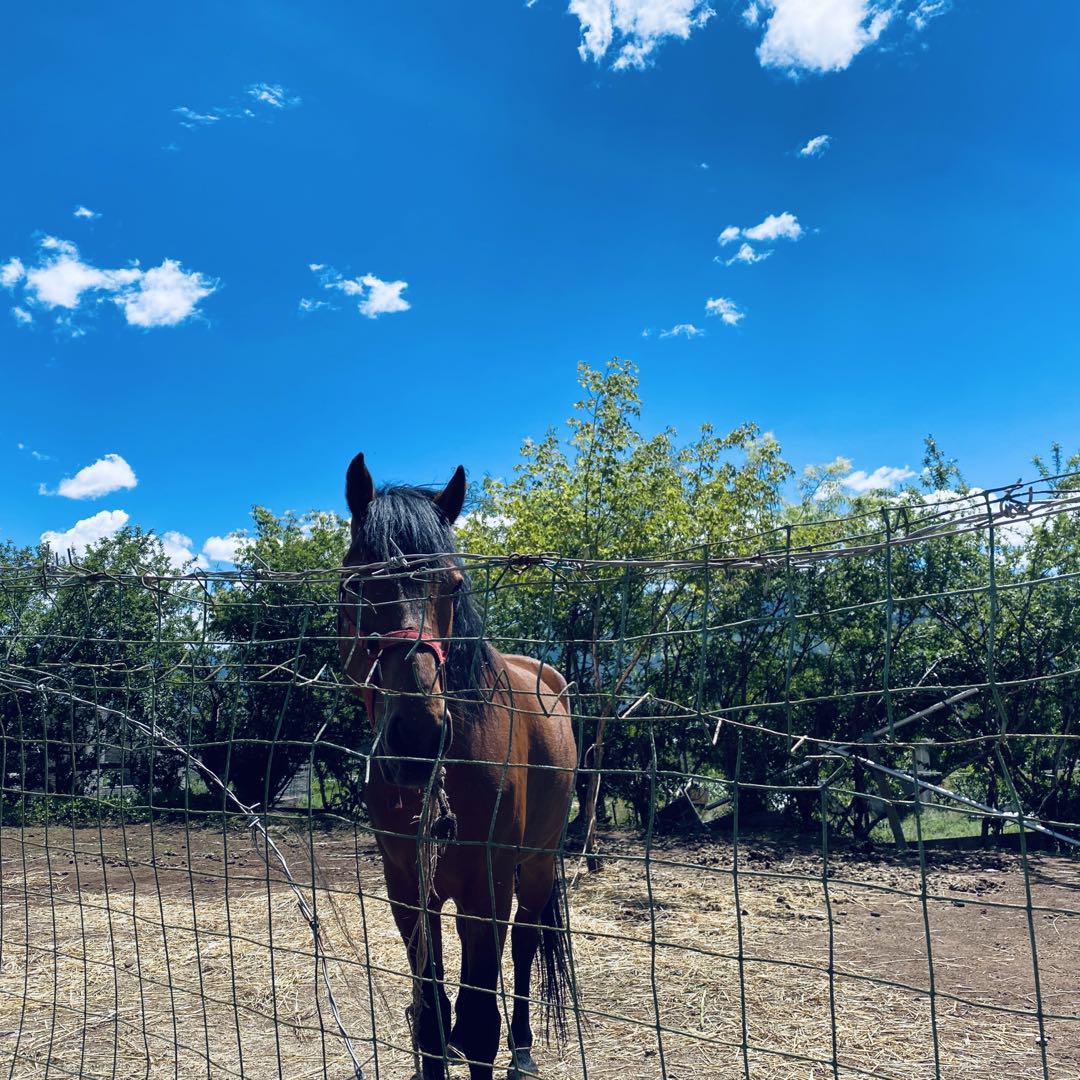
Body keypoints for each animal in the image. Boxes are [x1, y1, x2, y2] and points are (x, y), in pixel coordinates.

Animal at [336, 453, 578, 1080]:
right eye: (358, 585)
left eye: (453, 586)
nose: (418, 737)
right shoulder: (407, 892)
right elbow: (431, 1019)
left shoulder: (484, 893)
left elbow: (477, 1026)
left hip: (536, 866)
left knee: (526, 943)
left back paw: (524, 1051)